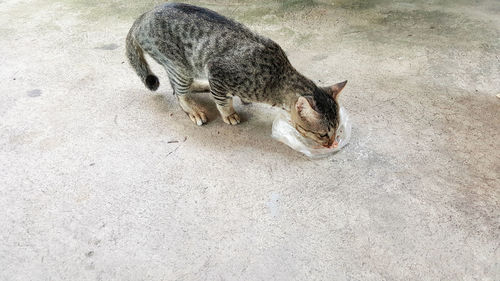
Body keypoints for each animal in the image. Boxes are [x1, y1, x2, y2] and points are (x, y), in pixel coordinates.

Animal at [125, 3, 346, 148]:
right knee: (179, 93)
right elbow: (223, 102)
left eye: (337, 129)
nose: (332, 144)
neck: (276, 77)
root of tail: (143, 15)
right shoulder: (217, 71)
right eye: (323, 134)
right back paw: (193, 109)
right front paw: (229, 114)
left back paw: (201, 86)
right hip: (179, 66)